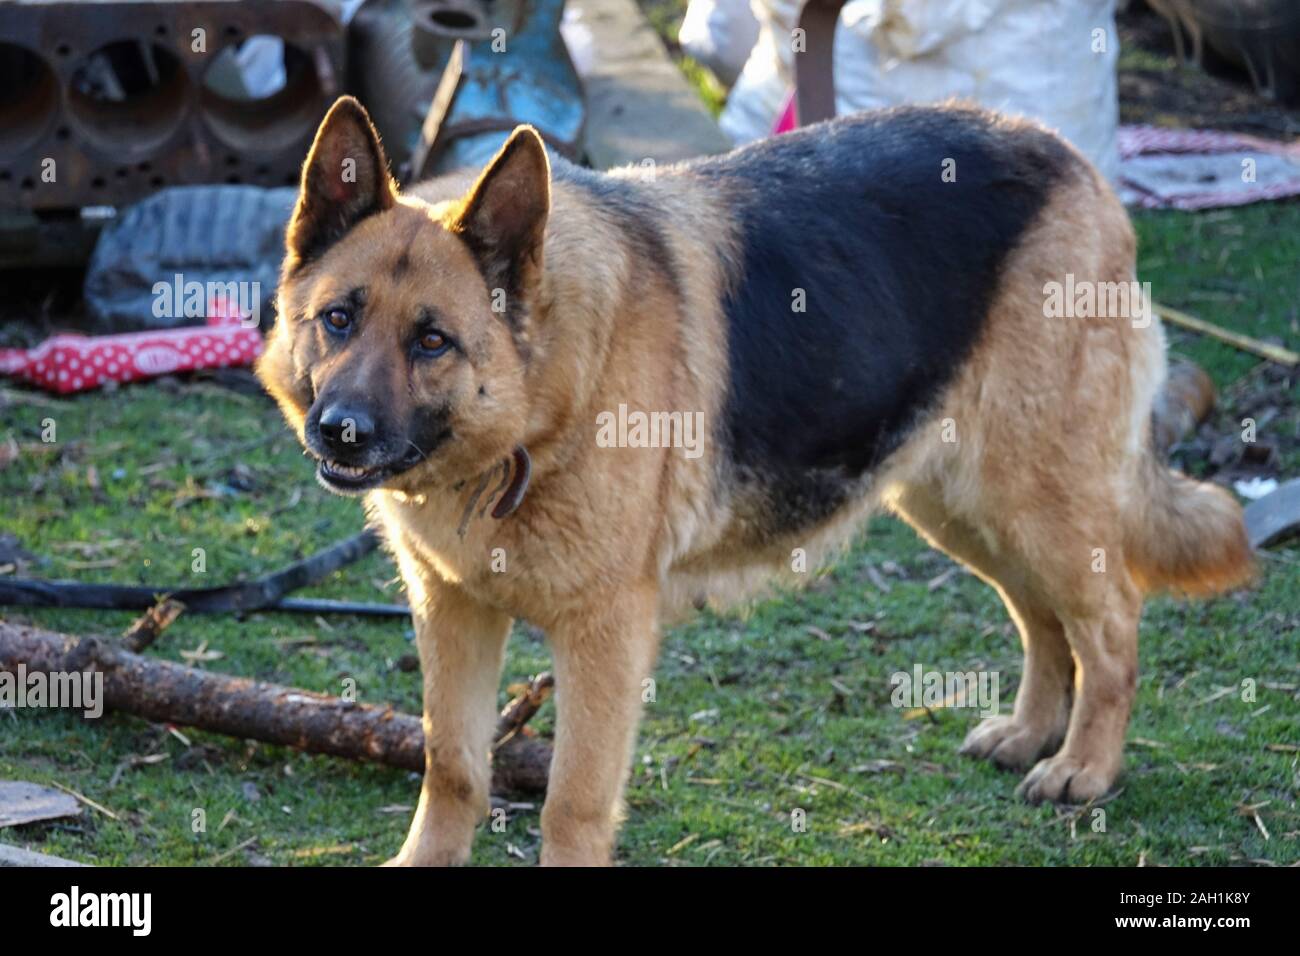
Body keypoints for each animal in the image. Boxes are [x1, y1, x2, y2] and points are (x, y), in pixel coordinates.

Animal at [258, 97, 1253, 868]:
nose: (341, 431)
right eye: (338, 320)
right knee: (1043, 618)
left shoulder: (606, 637)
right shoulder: (453, 609)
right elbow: (453, 766)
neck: (538, 408)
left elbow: (572, 801)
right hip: (960, 504)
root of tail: (1070, 158)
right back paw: (1030, 732)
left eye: (433, 340)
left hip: (1035, 498)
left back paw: (1084, 767)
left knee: (1110, 627)